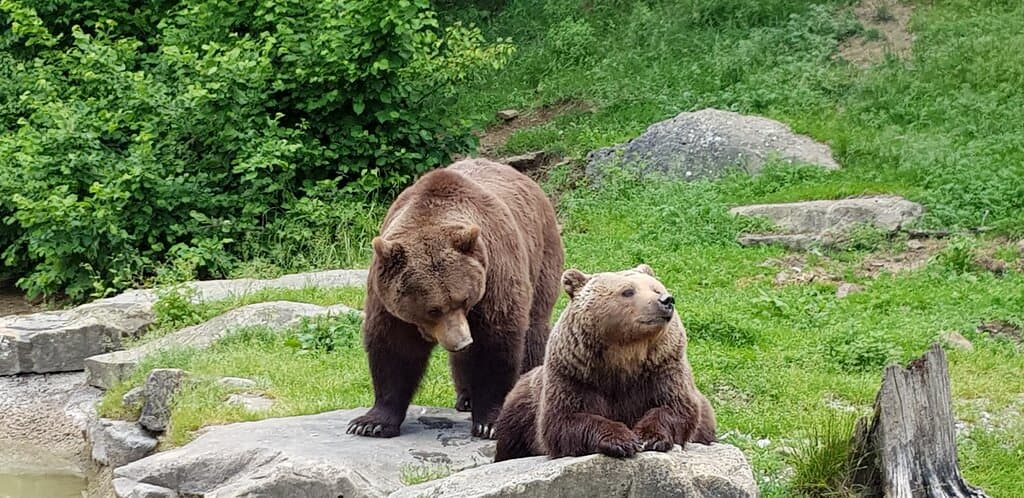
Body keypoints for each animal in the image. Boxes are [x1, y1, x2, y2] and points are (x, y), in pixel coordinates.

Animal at [347, 157, 564, 440]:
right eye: (433, 310)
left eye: (464, 299)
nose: (462, 341)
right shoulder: (386, 297)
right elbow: (393, 349)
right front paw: (370, 423)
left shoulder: (494, 275)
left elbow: (495, 343)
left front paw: (489, 423)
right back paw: (466, 397)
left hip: (541, 255)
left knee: (535, 328)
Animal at [493, 264, 716, 461]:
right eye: (628, 291)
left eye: (656, 288)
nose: (666, 300)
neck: (625, 354)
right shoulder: (574, 374)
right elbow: (565, 419)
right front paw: (622, 440)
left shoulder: (662, 366)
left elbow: (675, 407)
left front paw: (648, 437)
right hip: (520, 413)